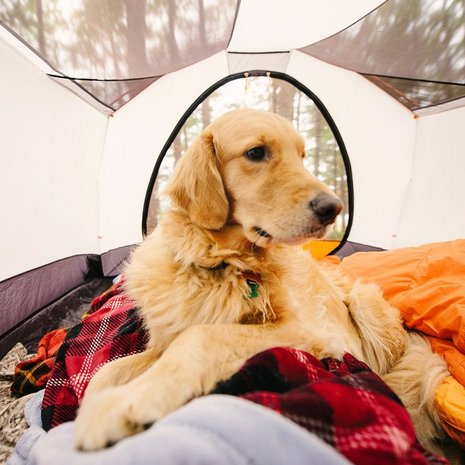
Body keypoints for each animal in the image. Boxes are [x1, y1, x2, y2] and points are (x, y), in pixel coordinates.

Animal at [74, 109, 452, 460]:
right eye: (256, 153)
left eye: (301, 155)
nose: (333, 208)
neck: (222, 265)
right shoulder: (162, 342)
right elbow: (105, 372)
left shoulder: (303, 331)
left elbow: (201, 335)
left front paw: (127, 403)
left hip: (364, 303)